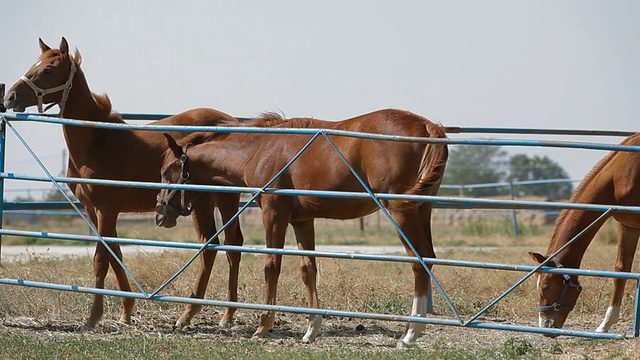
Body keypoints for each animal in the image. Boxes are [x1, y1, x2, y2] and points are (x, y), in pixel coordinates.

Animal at [2, 38, 246, 330]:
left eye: (49, 69)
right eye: (34, 64)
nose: (10, 97)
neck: (98, 142)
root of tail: (232, 122)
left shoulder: (106, 210)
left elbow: (101, 259)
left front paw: (93, 317)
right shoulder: (94, 210)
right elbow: (115, 254)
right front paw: (126, 311)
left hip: (224, 198)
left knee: (233, 244)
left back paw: (227, 315)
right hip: (200, 201)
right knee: (209, 246)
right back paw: (188, 314)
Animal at [155, 110, 448, 346]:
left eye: (167, 171)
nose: (160, 212)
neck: (259, 150)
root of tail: (427, 125)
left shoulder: (274, 214)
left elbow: (271, 266)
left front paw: (263, 326)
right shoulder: (302, 221)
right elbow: (308, 269)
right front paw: (311, 329)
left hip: (401, 213)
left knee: (419, 261)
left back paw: (410, 334)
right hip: (421, 210)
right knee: (429, 259)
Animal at [528, 133, 640, 334]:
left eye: (546, 287)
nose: (546, 326)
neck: (618, 175)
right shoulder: (628, 225)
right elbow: (622, 269)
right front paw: (605, 325)